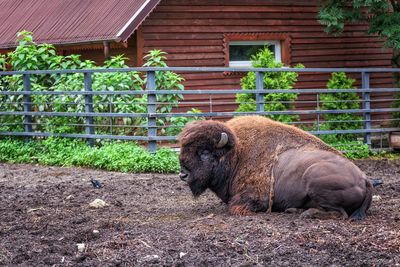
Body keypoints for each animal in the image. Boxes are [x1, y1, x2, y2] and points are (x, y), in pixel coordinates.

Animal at [178, 116, 372, 221]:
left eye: (205, 152)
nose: (183, 174)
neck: (237, 153)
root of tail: (364, 179)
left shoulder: (255, 197)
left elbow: (235, 206)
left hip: (314, 178)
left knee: (341, 213)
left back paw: (306, 213)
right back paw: (294, 210)